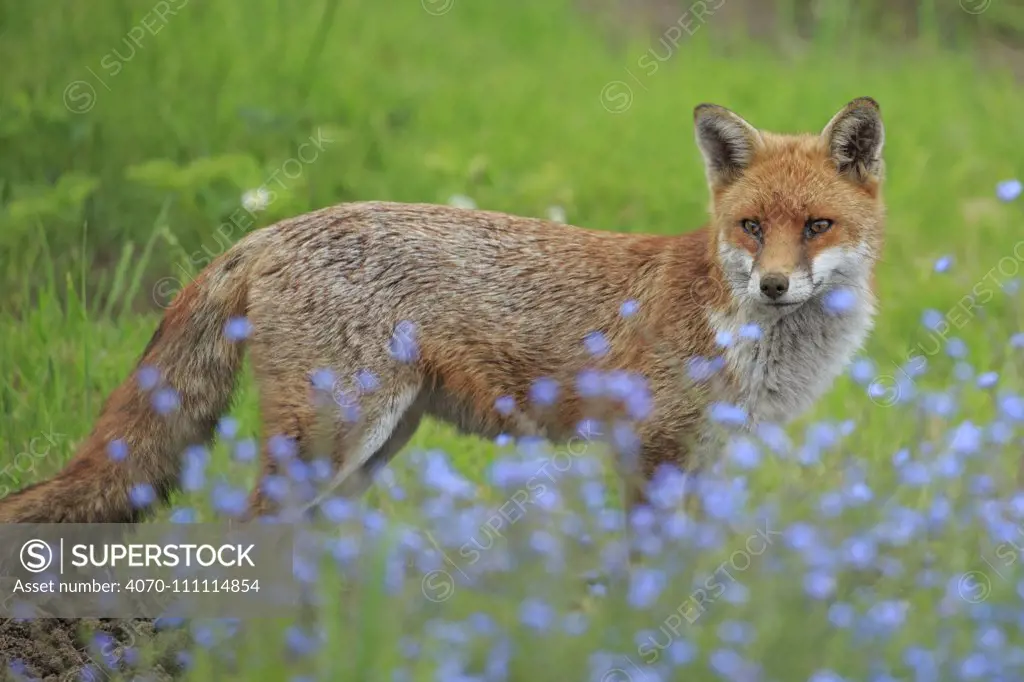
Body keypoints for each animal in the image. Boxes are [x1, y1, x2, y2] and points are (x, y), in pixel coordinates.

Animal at [0, 96, 880, 520]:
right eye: (752, 227)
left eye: (816, 226)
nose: (773, 286)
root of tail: (270, 228)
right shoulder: (650, 449)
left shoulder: (703, 460)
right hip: (334, 440)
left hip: (374, 449)